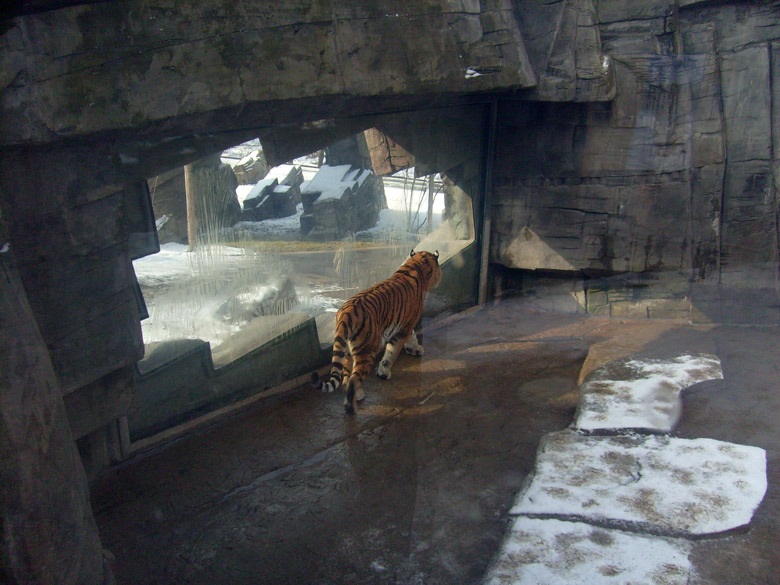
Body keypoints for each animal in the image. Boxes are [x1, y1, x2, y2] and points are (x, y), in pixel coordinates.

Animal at [314, 249, 442, 412]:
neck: (416, 265)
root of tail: (345, 315)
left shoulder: (405, 324)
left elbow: (410, 337)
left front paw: (414, 349)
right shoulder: (404, 328)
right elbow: (391, 353)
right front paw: (383, 373)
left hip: (348, 352)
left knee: (345, 378)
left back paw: (356, 395)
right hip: (367, 351)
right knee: (353, 379)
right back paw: (351, 407)